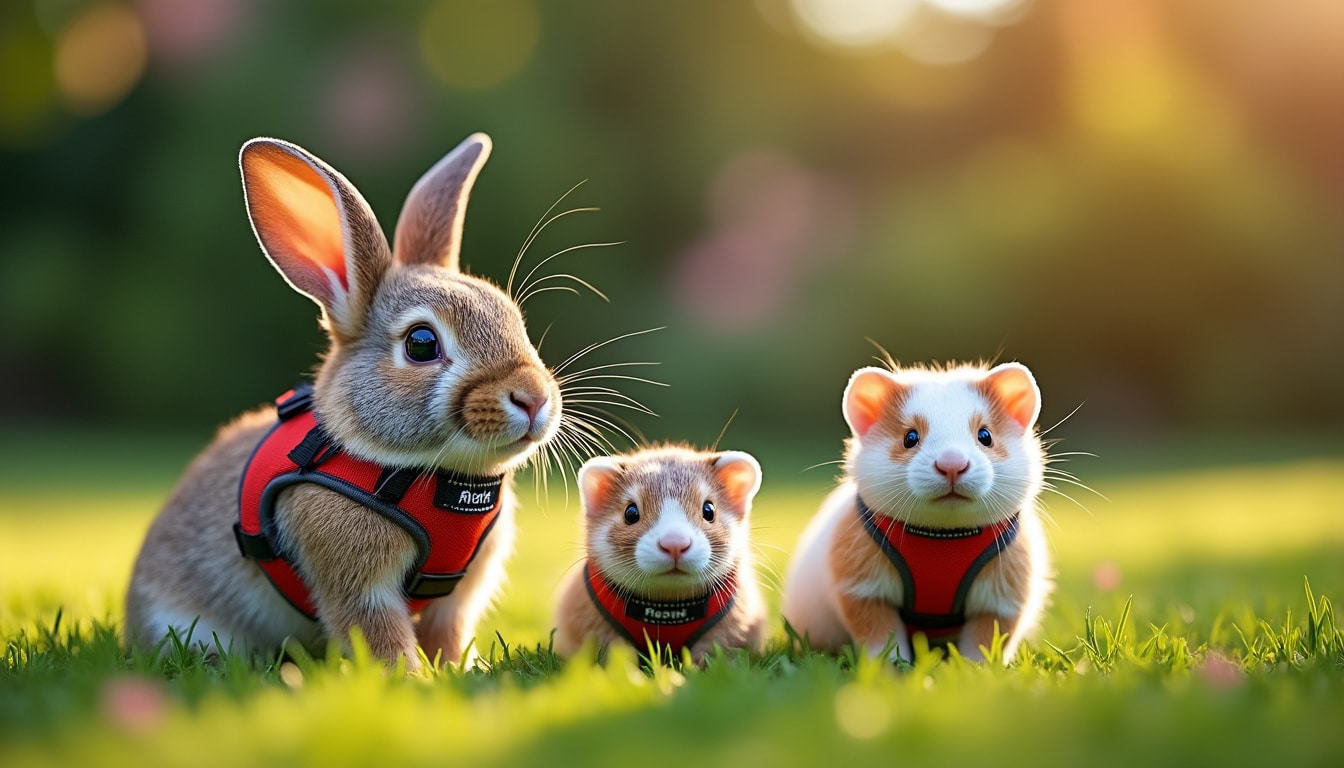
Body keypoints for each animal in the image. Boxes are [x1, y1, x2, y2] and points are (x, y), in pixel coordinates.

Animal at [124, 133, 563, 672]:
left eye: (515, 320)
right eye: (421, 344)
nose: (533, 398)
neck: (431, 478)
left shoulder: (457, 598)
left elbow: (449, 631)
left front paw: (460, 671)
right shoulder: (358, 583)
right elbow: (378, 632)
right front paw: (409, 679)